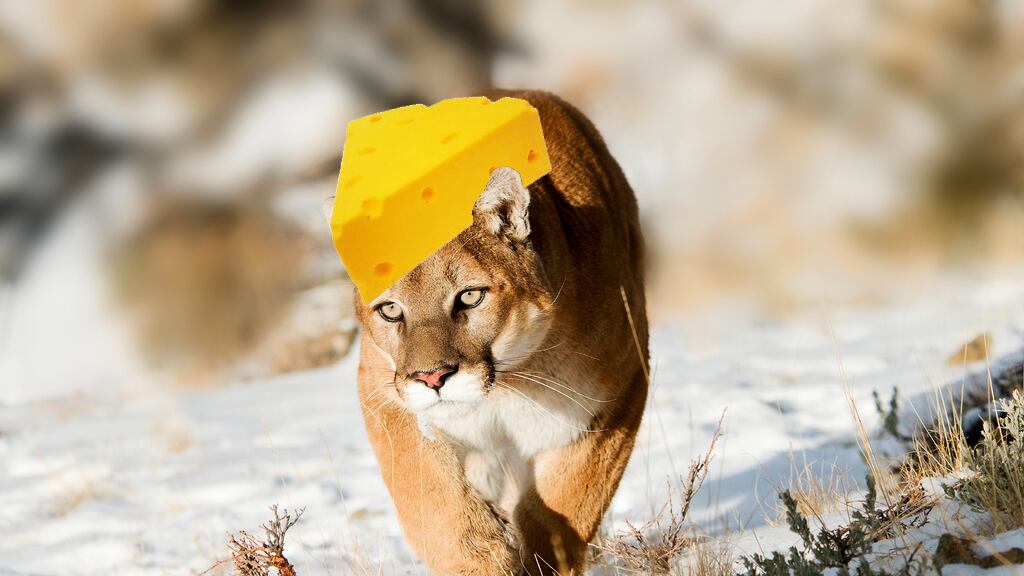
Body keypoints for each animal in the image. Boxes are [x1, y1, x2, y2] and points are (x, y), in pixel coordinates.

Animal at [330, 90, 648, 575]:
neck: (505, 388)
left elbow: (569, 500)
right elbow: (434, 504)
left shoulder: (618, 391)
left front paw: (541, 558)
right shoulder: (385, 394)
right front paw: (485, 557)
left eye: (469, 296)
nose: (432, 378)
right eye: (390, 310)